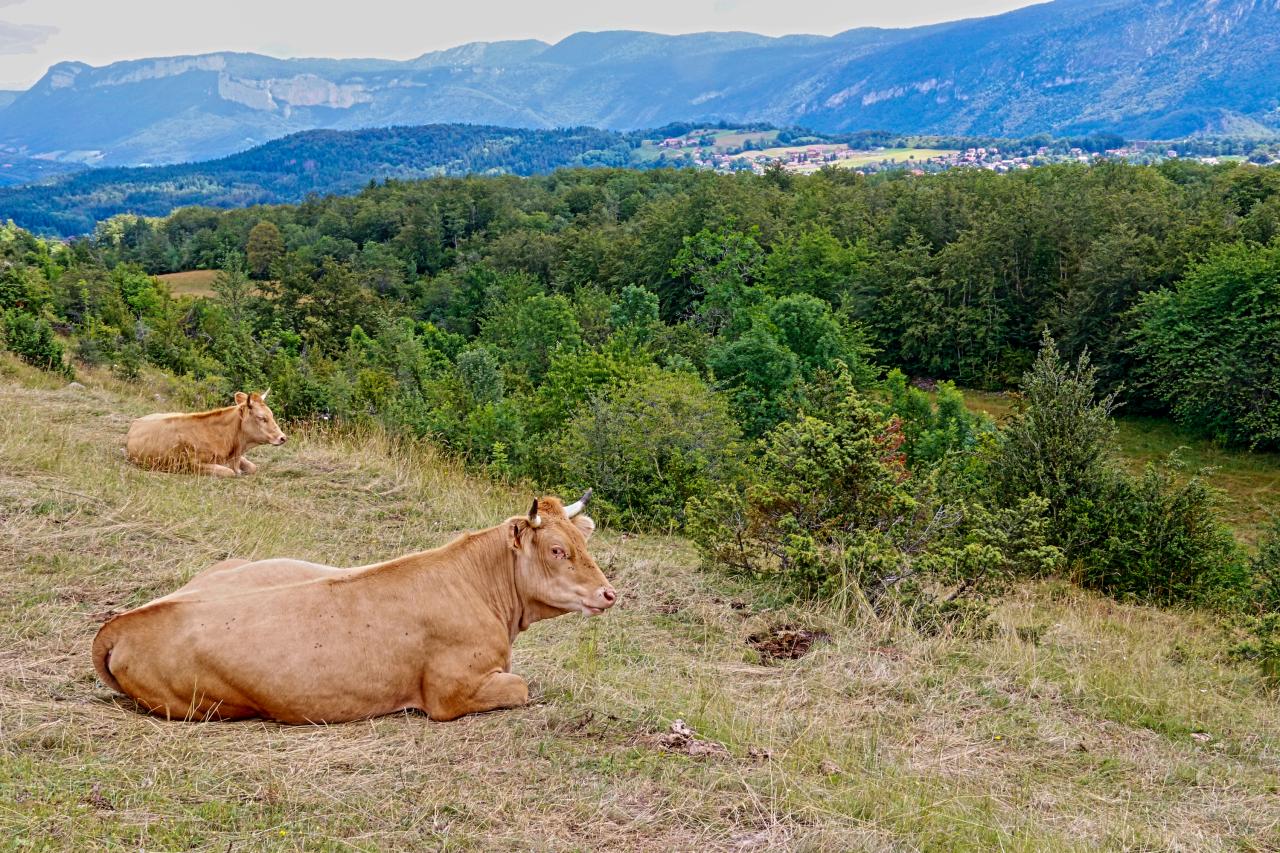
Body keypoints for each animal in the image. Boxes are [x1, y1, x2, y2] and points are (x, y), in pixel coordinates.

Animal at [91, 489, 614, 722]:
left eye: (582, 542)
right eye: (557, 551)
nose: (609, 593)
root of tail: (118, 624)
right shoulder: (450, 695)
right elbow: (522, 686)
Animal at [124, 389, 285, 473]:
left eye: (271, 415)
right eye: (262, 418)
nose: (283, 437)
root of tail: (136, 421)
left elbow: (252, 467)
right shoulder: (192, 464)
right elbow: (228, 471)